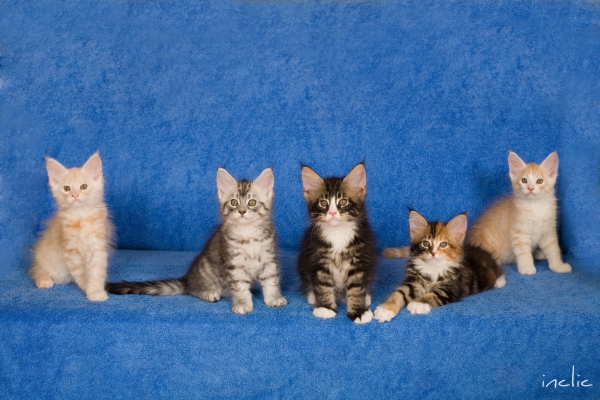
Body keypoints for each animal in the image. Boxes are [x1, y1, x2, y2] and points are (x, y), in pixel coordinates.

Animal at [30, 152, 112, 302]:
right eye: (67, 188)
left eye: (83, 186)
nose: (75, 195)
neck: (81, 216)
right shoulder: (70, 251)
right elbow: (81, 273)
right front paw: (86, 287)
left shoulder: (97, 246)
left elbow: (96, 272)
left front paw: (95, 291)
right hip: (43, 256)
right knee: (38, 270)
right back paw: (44, 280)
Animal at [106, 167, 288, 314]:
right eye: (234, 202)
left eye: (252, 202)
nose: (242, 212)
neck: (248, 234)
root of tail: (187, 279)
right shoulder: (234, 264)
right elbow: (240, 288)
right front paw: (243, 303)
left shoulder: (269, 258)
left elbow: (271, 281)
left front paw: (274, 298)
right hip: (207, 269)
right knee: (193, 290)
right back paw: (208, 293)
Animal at [298, 164, 378, 324]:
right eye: (324, 203)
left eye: (343, 202)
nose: (333, 213)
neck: (338, 233)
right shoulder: (318, 261)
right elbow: (322, 286)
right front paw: (325, 308)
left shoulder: (360, 261)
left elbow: (357, 288)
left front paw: (358, 311)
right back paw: (312, 296)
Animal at [376, 209, 506, 322]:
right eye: (425, 243)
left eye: (443, 244)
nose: (433, 253)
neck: (433, 269)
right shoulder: (413, 282)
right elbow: (398, 294)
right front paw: (385, 309)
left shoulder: (450, 289)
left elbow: (433, 294)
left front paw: (418, 303)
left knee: (499, 268)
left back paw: (499, 281)